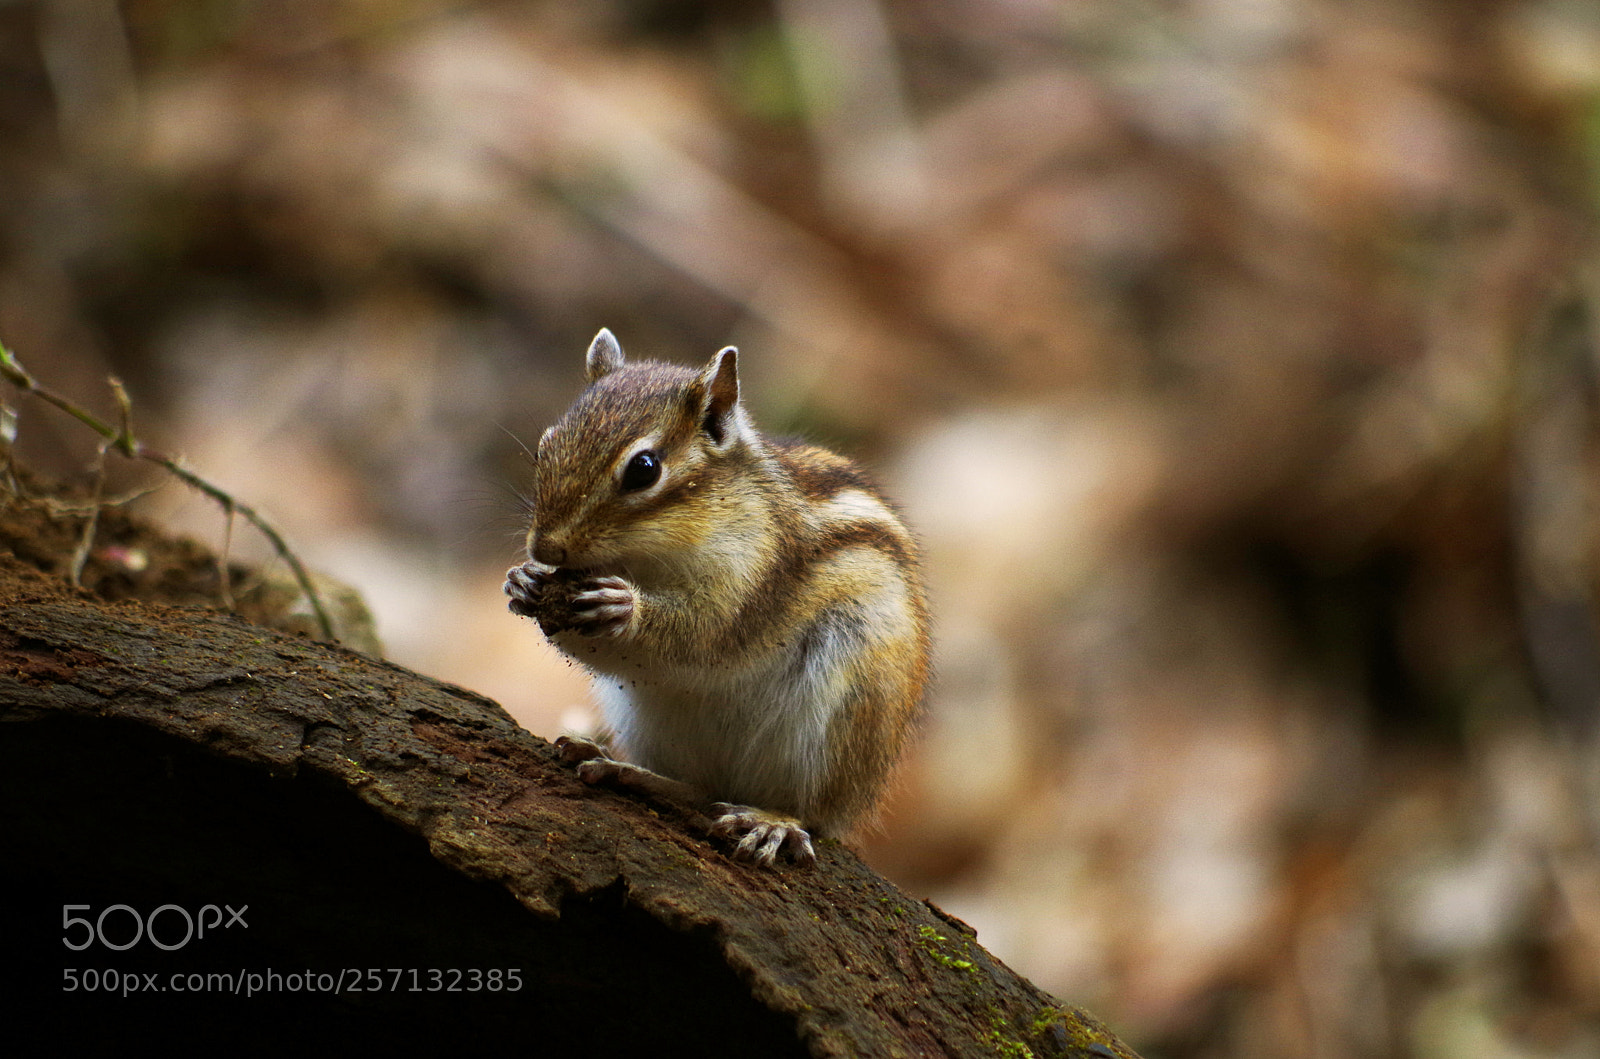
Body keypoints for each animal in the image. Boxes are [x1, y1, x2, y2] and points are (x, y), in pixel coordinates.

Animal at [504, 329, 929, 867]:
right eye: (547, 443)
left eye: (644, 469)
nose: (545, 548)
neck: (651, 556)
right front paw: (523, 581)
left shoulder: (753, 576)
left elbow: (703, 634)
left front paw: (625, 609)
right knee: (698, 790)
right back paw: (617, 767)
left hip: (843, 719)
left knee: (807, 812)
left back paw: (773, 823)